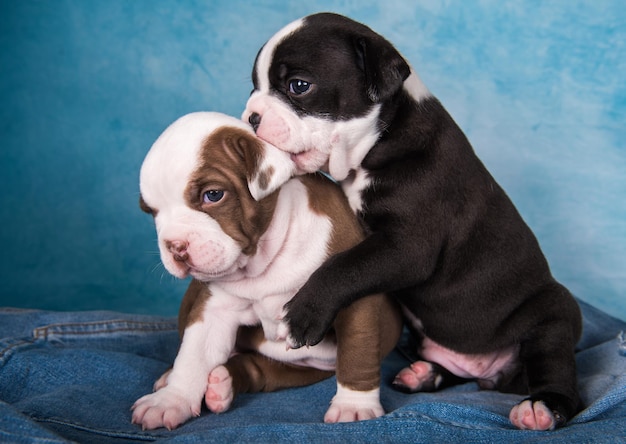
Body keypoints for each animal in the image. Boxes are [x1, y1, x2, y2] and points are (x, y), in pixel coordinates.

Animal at [130, 112, 400, 430]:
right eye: (152, 212)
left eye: (213, 195)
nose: (176, 247)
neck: (266, 259)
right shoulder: (214, 308)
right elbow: (193, 355)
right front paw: (172, 400)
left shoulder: (353, 300)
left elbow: (358, 351)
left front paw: (354, 408)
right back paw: (202, 383)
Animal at [243, 13, 580, 430]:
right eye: (255, 86)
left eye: (299, 86)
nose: (251, 116)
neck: (383, 138)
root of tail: (494, 373)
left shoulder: (407, 247)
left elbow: (344, 266)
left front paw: (301, 315)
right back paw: (425, 374)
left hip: (554, 316)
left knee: (555, 367)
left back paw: (542, 407)